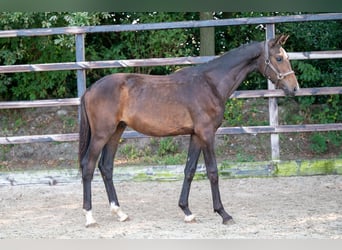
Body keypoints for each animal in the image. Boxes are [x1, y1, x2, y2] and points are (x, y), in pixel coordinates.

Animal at [79, 34, 298, 228]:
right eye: (279, 58)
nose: (294, 88)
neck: (210, 84)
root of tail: (90, 90)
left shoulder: (196, 135)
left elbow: (189, 170)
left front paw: (187, 211)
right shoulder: (207, 134)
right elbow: (212, 171)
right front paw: (223, 214)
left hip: (116, 132)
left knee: (106, 167)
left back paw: (120, 213)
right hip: (101, 135)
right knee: (88, 166)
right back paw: (90, 217)